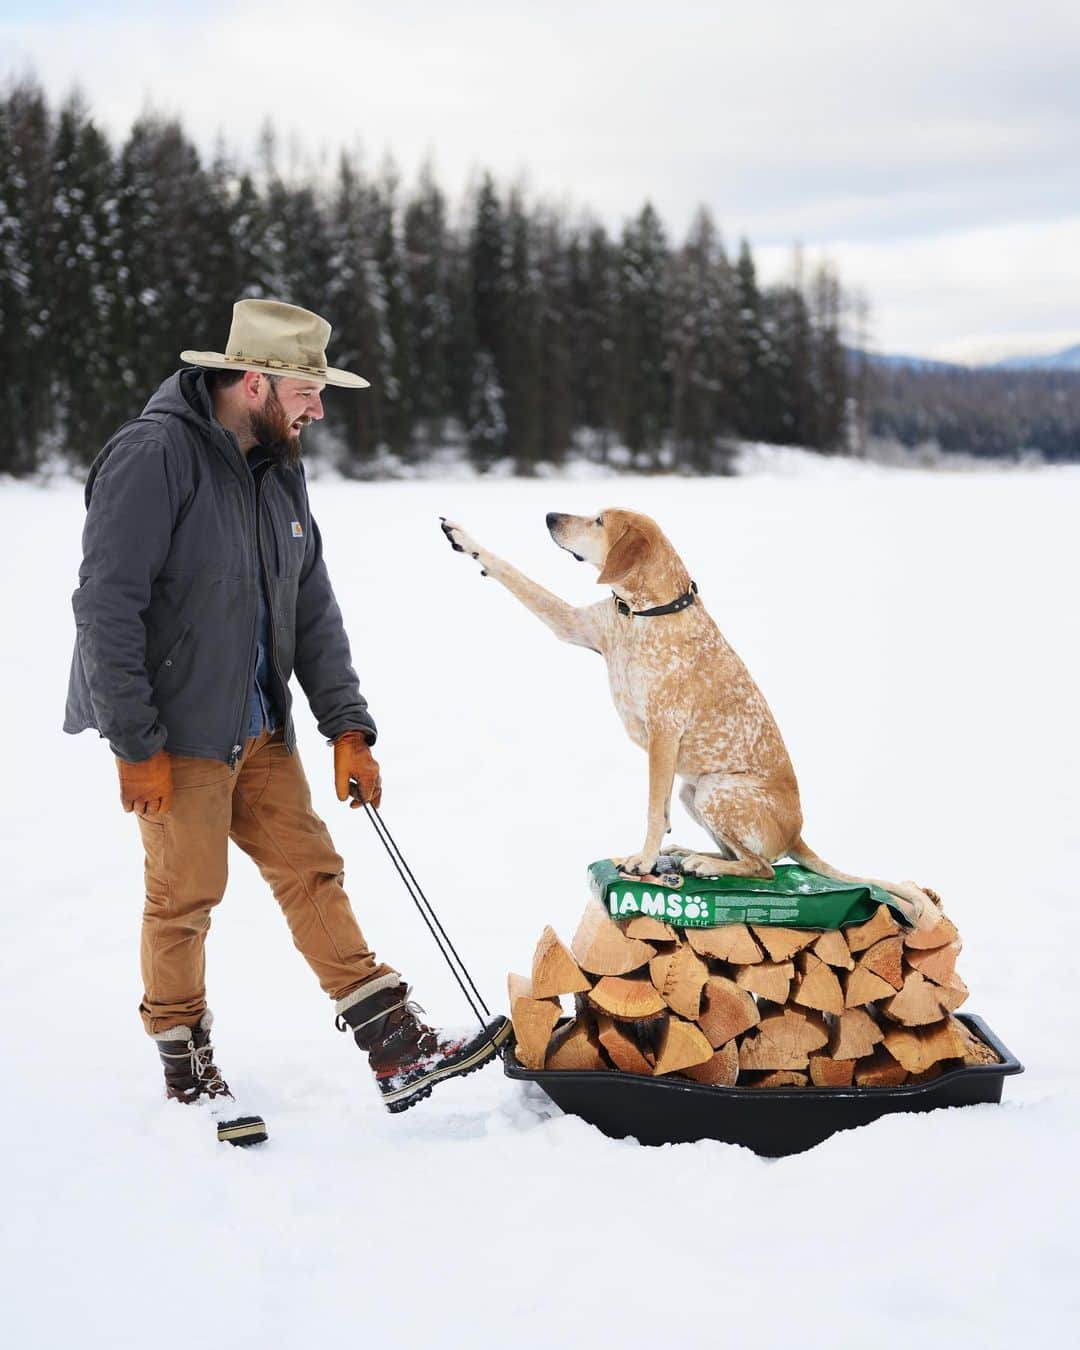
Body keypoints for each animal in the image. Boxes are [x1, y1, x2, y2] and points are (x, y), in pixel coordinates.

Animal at [437, 507, 934, 928]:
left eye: (598, 521)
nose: (549, 516)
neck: (640, 613)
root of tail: (797, 835)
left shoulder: (663, 732)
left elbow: (651, 811)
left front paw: (641, 860)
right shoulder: (574, 625)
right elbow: (512, 573)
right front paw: (463, 538)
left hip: (718, 790)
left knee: (764, 868)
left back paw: (702, 862)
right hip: (692, 792)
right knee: (746, 858)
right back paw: (690, 854)